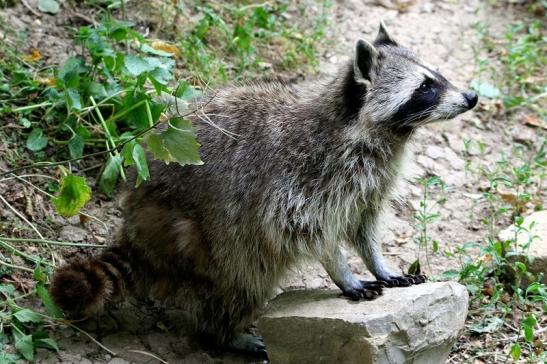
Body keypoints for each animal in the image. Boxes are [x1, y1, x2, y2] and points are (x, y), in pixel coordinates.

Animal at [52, 21, 480, 360]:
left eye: (437, 75)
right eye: (426, 87)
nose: (472, 97)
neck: (377, 132)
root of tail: (135, 228)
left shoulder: (370, 182)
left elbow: (363, 225)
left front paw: (379, 263)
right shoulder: (304, 176)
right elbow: (305, 229)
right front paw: (343, 272)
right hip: (194, 233)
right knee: (239, 278)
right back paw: (224, 333)